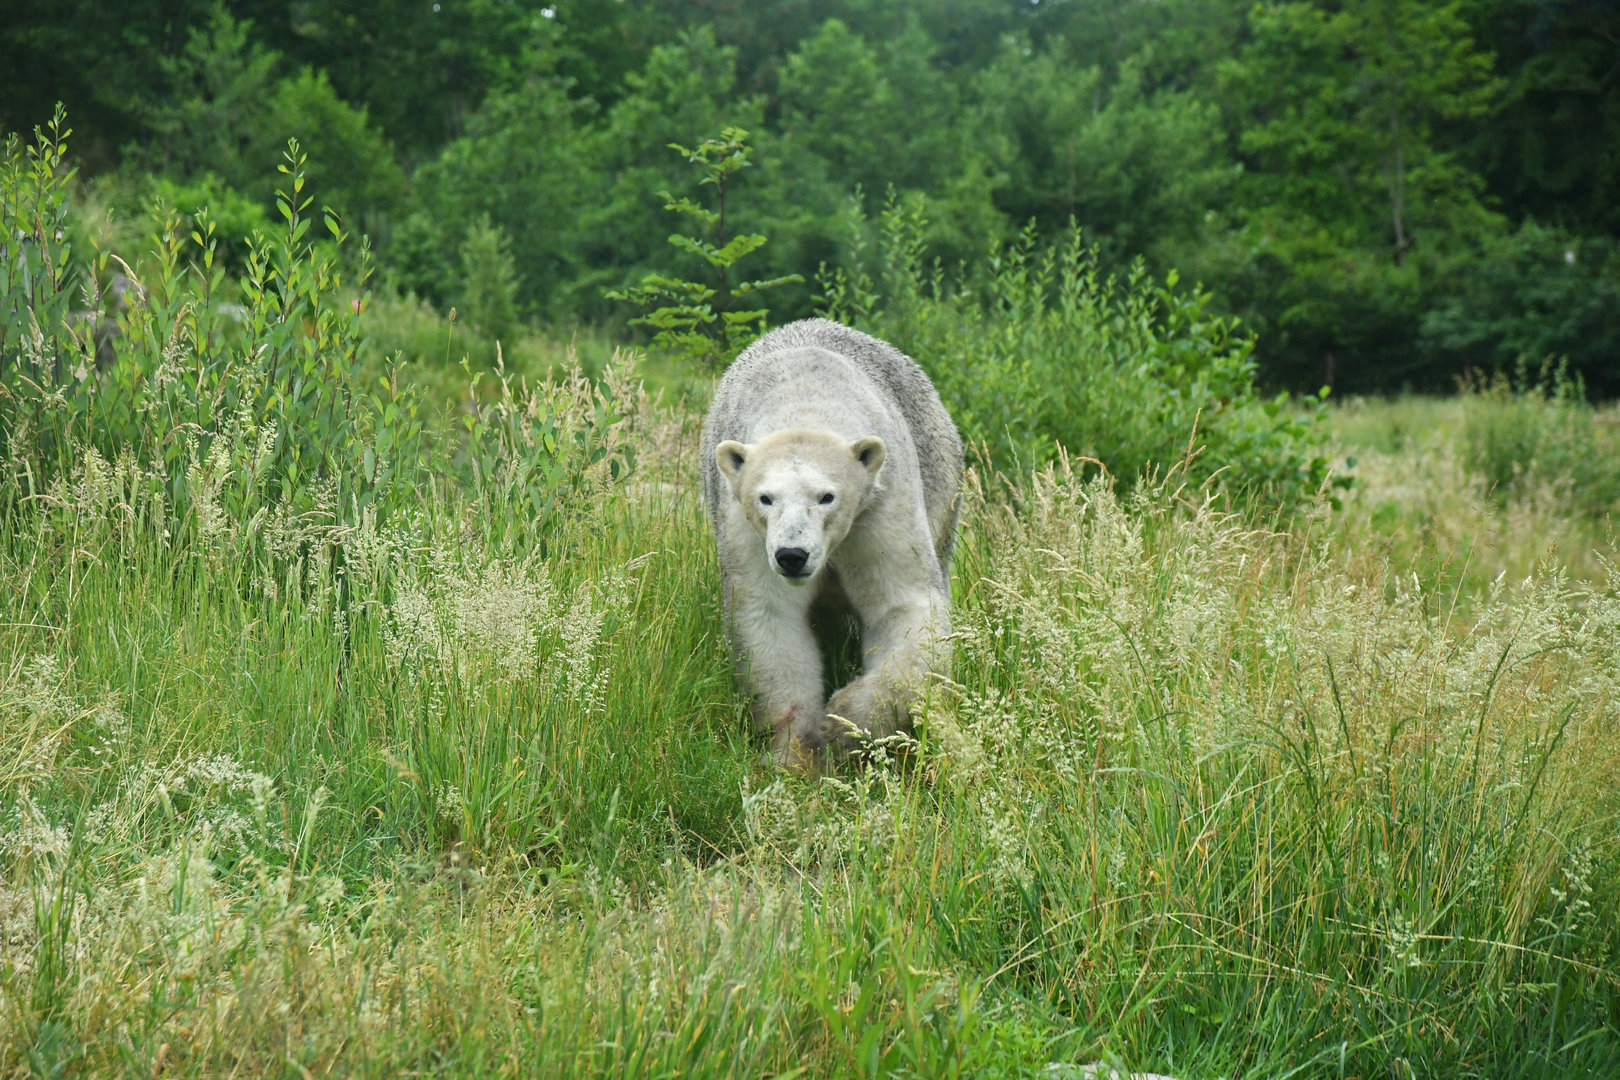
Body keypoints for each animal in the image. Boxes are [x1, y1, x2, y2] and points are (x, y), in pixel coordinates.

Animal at [701, 318, 963, 767]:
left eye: (827, 496)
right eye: (766, 497)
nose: (792, 556)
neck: (805, 399)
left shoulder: (879, 506)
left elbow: (903, 603)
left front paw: (843, 723)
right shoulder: (745, 525)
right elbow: (769, 615)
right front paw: (797, 750)